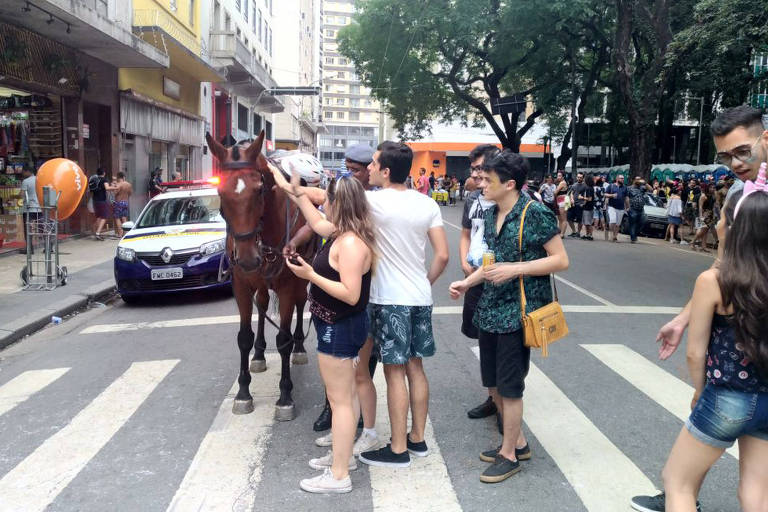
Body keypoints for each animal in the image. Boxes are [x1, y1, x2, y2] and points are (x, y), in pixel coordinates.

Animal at [206, 131, 316, 420]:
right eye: (220, 192)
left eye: (259, 190)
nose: (246, 258)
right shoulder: (241, 286)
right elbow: (243, 337)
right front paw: (244, 393)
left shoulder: (288, 285)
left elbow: (283, 340)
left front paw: (285, 396)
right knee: (264, 304)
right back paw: (258, 354)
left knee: (300, 304)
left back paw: (300, 347)